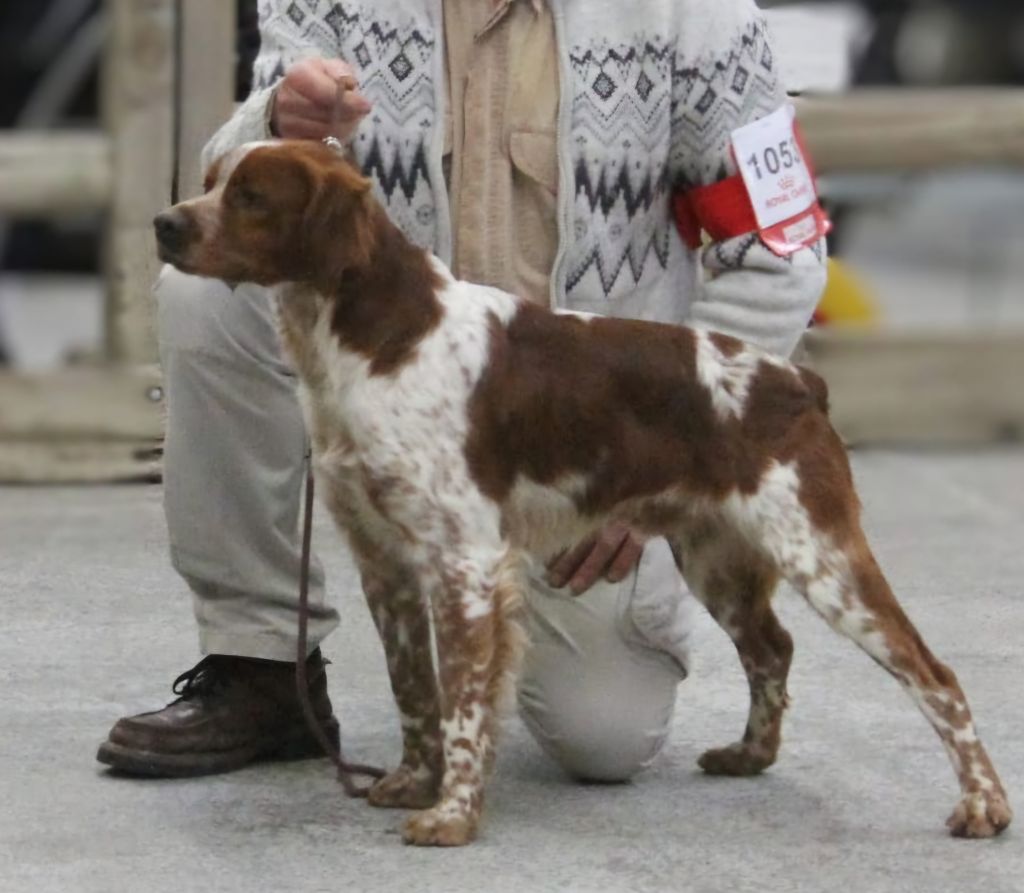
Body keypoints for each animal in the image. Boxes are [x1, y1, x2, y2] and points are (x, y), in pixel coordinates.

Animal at [155, 138, 1011, 843]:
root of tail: (798, 381)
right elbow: (416, 690)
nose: (166, 224)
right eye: (210, 181)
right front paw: (412, 782)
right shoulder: (387, 561)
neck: (370, 339)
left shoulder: (465, 563)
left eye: (252, 196)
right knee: (773, 646)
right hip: (719, 557)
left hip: (820, 553)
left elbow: (463, 699)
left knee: (935, 674)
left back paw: (984, 804)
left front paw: (452, 815)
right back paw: (749, 753)